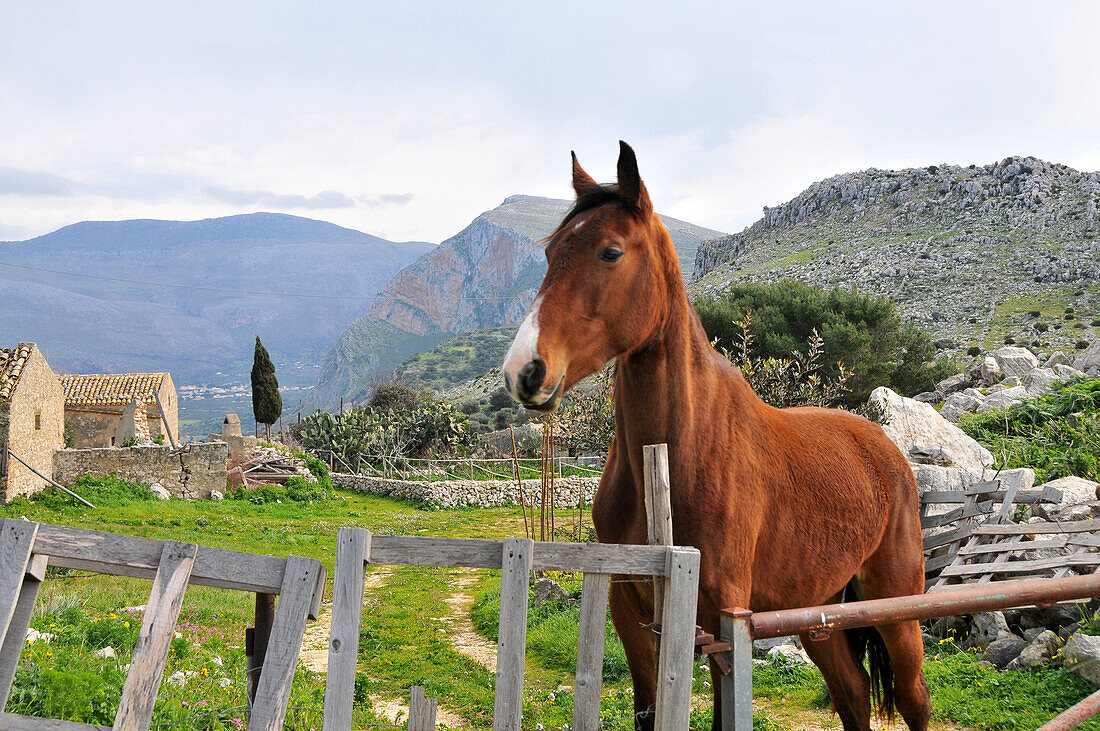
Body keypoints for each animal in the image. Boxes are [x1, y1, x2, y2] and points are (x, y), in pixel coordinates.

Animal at [503, 142, 928, 729]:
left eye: (610, 252)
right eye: (549, 255)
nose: (524, 371)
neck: (675, 455)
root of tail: (887, 451)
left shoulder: (724, 619)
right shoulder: (631, 610)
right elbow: (648, 711)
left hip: (897, 610)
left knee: (913, 699)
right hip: (818, 611)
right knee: (852, 692)